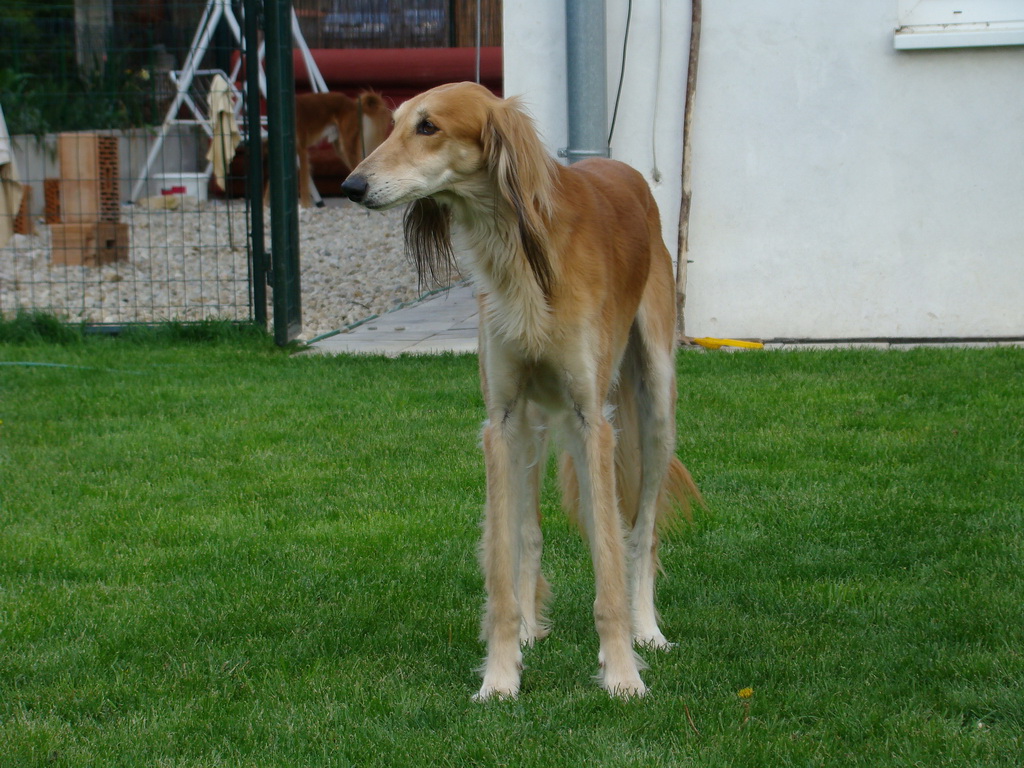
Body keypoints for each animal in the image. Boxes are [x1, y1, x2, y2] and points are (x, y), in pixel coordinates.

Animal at [339, 81, 700, 700]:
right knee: (530, 531)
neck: (517, 250)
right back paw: (533, 627)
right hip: (533, 424)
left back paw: (647, 627)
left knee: (641, 530)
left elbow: (609, 559)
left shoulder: (591, 420)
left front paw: (622, 673)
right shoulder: (502, 421)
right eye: (393, 124)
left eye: (428, 127)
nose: (351, 187)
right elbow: (503, 558)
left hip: (654, 405)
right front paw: (502, 675)